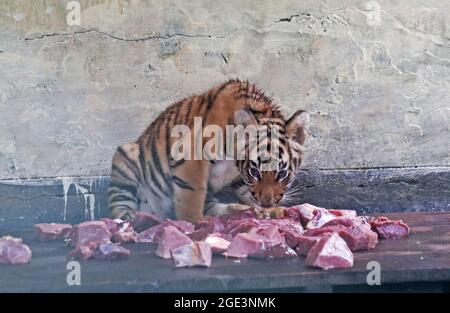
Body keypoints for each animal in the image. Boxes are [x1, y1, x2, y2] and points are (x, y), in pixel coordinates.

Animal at [108, 80, 310, 222]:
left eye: (282, 173)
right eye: (255, 172)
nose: (267, 203)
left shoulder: (239, 175)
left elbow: (247, 190)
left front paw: (267, 211)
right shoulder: (190, 155)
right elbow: (191, 194)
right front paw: (194, 223)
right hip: (126, 156)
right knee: (118, 201)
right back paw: (128, 217)